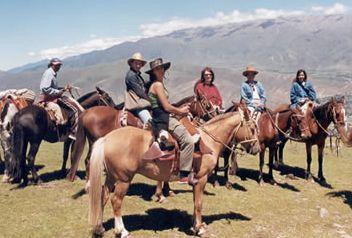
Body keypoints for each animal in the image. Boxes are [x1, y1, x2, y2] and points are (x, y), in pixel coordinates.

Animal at [87, 110, 258, 237]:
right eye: (252, 128)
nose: (256, 148)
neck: (208, 142)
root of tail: (107, 138)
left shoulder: (195, 182)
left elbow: (195, 202)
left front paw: (195, 226)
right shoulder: (201, 179)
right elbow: (199, 204)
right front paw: (200, 228)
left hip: (111, 177)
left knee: (103, 196)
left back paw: (100, 228)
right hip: (123, 179)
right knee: (116, 201)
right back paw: (122, 231)